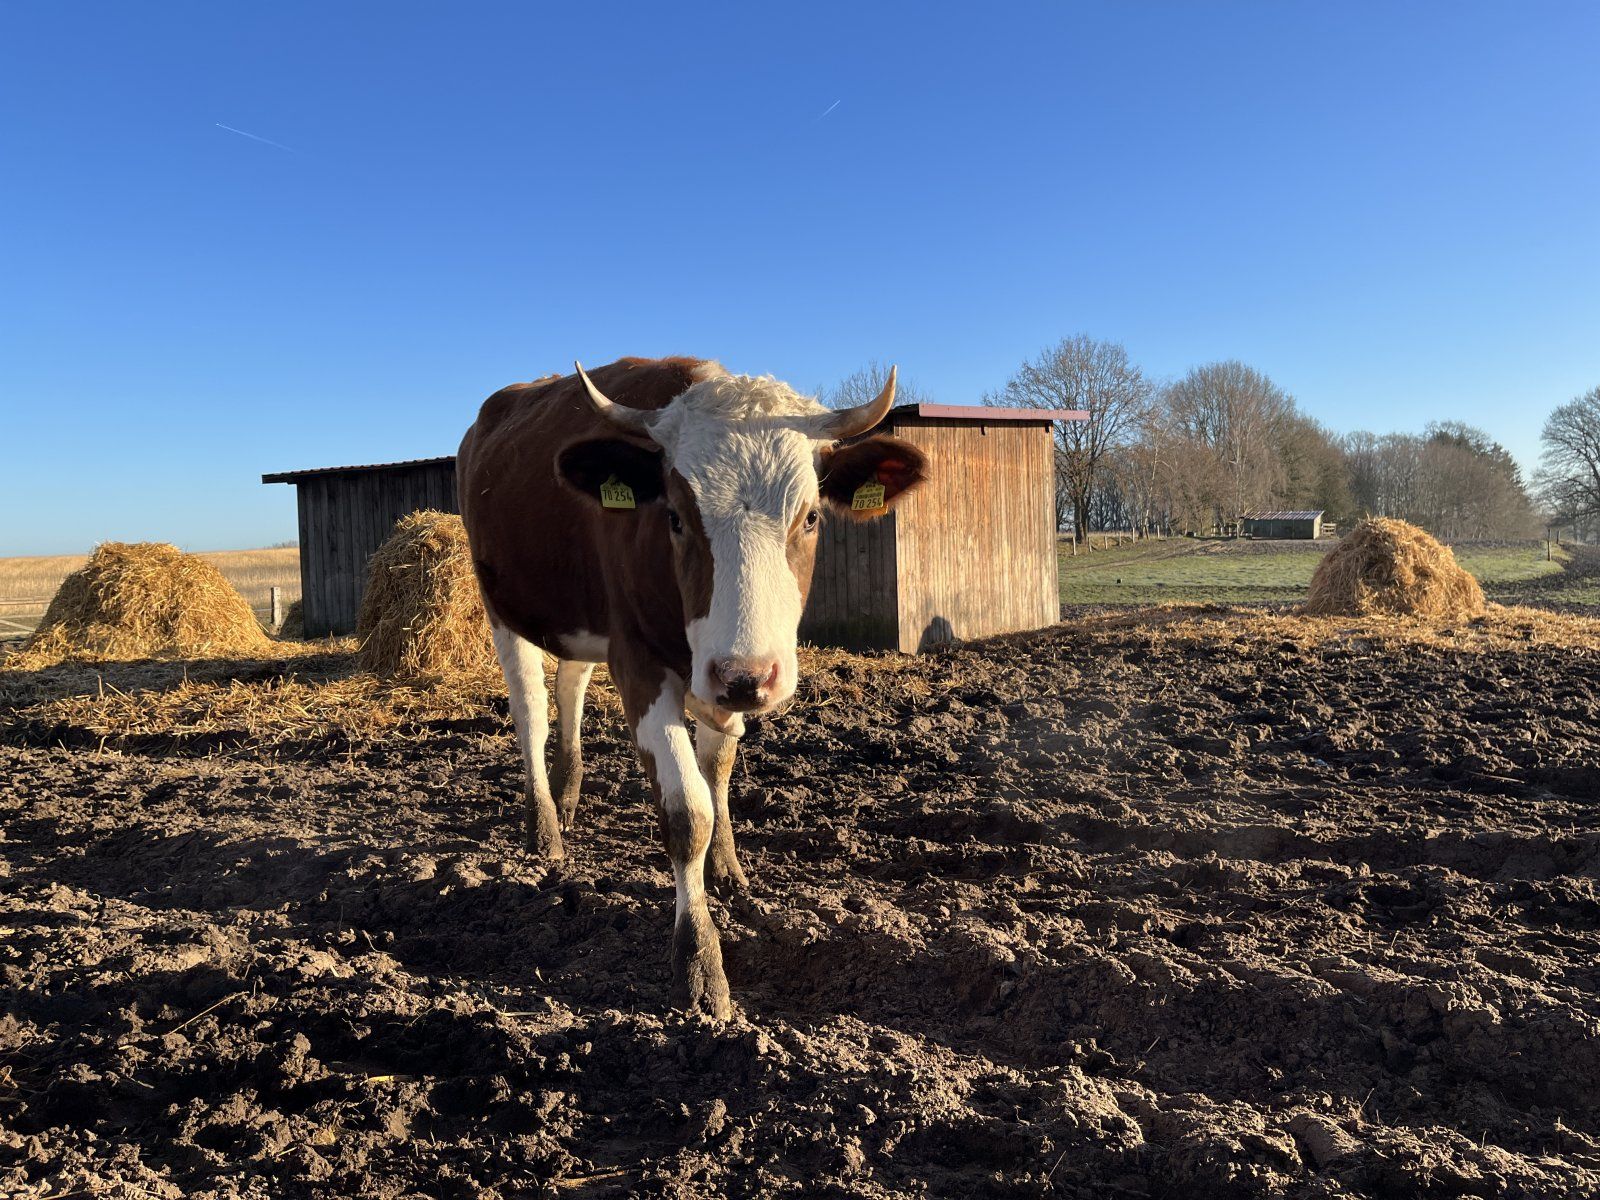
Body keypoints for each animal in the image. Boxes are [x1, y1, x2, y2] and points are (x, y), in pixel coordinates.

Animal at [457, 357, 926, 1017]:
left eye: (810, 516)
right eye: (675, 517)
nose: (748, 674)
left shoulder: (716, 681)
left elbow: (719, 768)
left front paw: (727, 868)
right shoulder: (639, 664)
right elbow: (687, 812)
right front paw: (699, 960)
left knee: (572, 682)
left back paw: (570, 794)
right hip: (503, 609)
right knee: (531, 709)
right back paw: (545, 827)